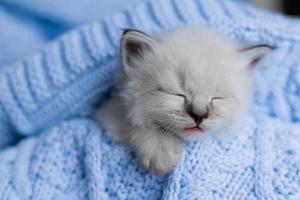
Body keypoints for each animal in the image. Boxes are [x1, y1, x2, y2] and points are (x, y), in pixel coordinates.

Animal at [94, 27, 272, 175]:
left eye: (217, 97)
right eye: (177, 94)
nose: (199, 115)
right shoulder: (108, 114)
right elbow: (133, 123)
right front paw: (161, 149)